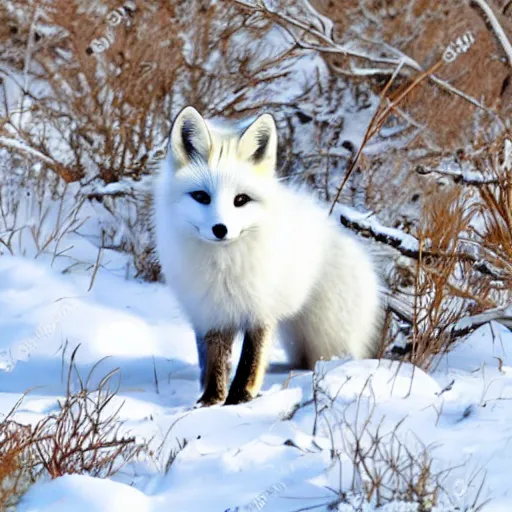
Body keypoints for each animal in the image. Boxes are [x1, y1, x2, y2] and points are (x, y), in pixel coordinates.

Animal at [154, 106, 382, 406]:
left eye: (240, 200)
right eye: (201, 197)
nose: (220, 229)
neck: (224, 268)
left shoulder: (261, 309)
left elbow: (250, 360)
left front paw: (240, 398)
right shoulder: (211, 312)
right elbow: (215, 361)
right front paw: (211, 400)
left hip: (327, 337)